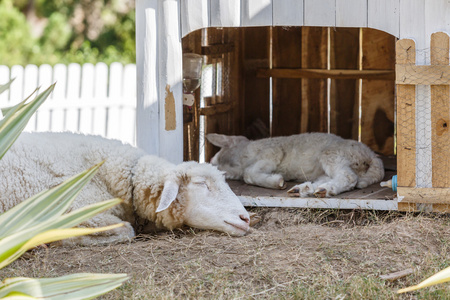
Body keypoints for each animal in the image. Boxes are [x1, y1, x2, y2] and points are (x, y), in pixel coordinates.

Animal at [206, 132, 384, 198]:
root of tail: (372, 155)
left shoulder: (272, 153)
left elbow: (248, 174)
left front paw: (277, 181)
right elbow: (247, 174)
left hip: (332, 155)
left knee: (349, 178)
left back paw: (326, 189)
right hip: (329, 167)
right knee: (332, 178)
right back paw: (305, 189)